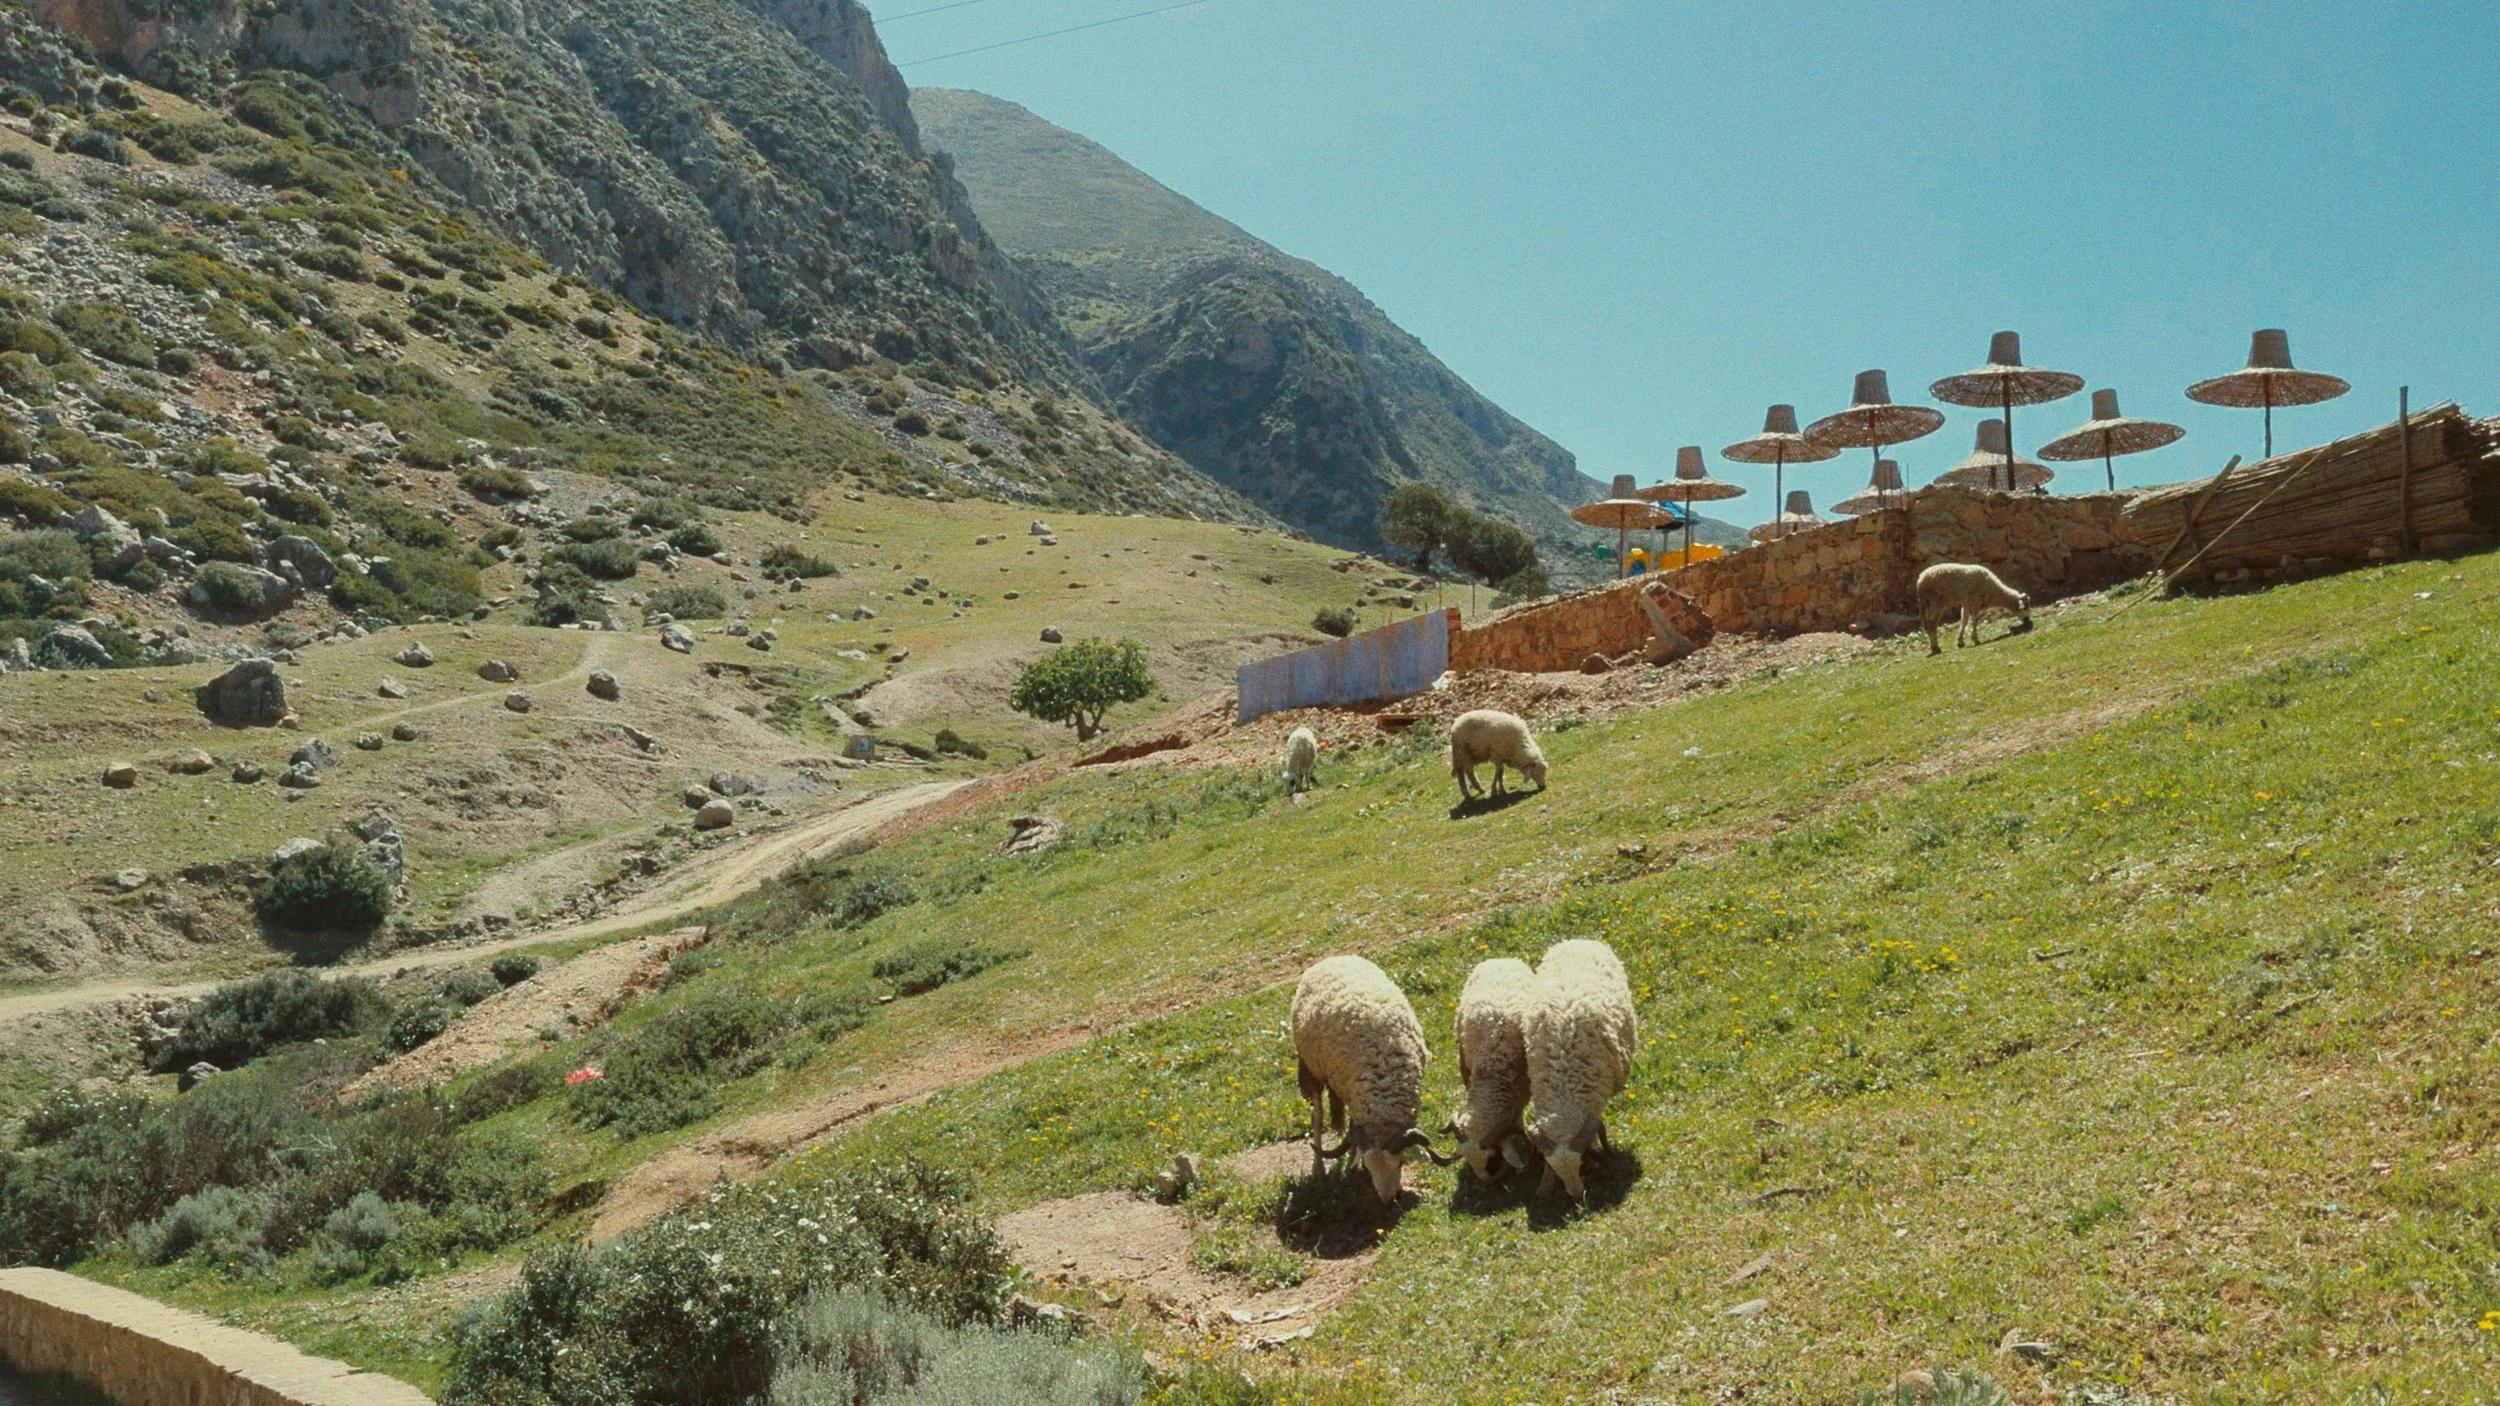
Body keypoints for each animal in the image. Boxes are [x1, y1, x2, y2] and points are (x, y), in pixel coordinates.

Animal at [1290, 954, 1453, 1202]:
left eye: (1401, 1162)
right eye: (1370, 1167)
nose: (1388, 1200)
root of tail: (1334, 957)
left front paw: (1351, 1163)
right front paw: (1352, 1165)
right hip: (1312, 1069)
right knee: (1317, 1117)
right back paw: (1318, 1168)